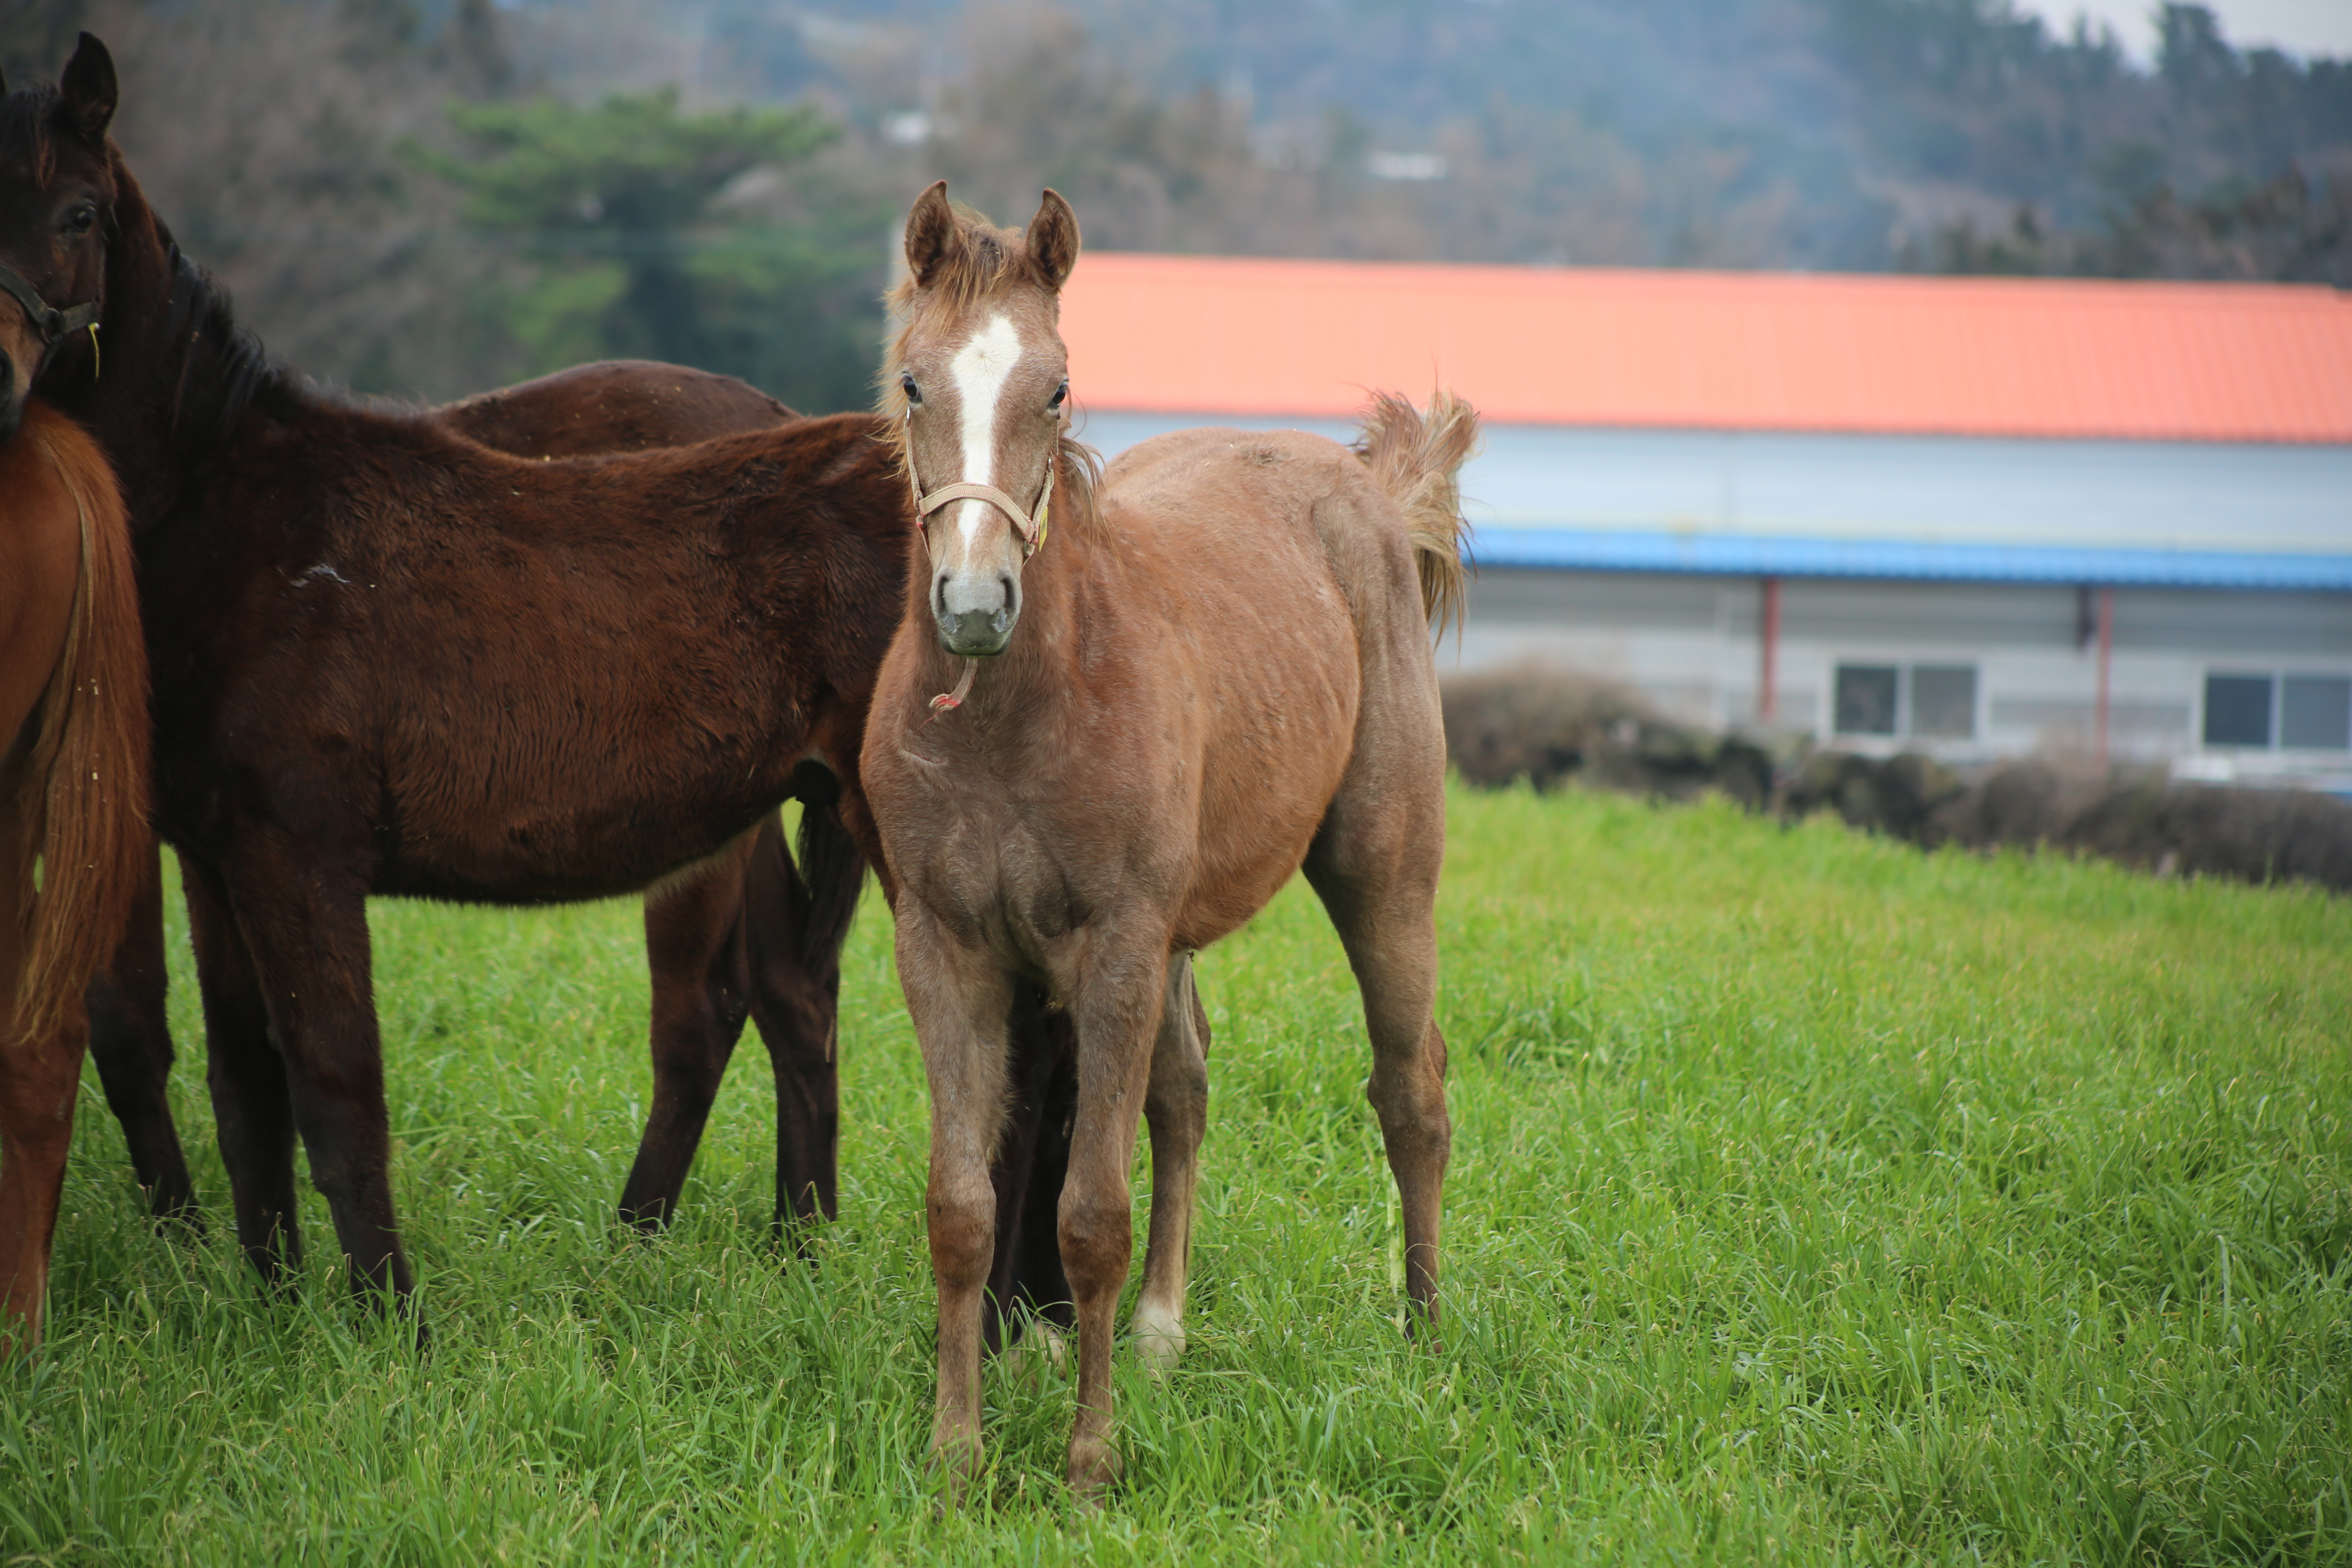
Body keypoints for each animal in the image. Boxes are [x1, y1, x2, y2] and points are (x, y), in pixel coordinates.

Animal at [0, 40, 1082, 1326]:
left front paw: (388, 1320)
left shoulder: (298, 853)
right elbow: (246, 1084)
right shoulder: (217, 856)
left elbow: (335, 1084)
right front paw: (268, 1304)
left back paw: (998, 1317)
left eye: (76, 212)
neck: (238, 511)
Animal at [865, 190, 1468, 1504]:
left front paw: (1088, 1466)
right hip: (1179, 937)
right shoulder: (943, 945)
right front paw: (955, 1455)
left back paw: (1424, 1337)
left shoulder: (1116, 946)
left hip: (1384, 876)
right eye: (914, 382)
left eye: (1056, 388)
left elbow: (1090, 1214)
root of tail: (1363, 485)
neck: (1015, 712)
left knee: (1411, 1089)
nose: (973, 604)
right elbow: (962, 1208)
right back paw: (1159, 1334)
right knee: (1186, 1091)